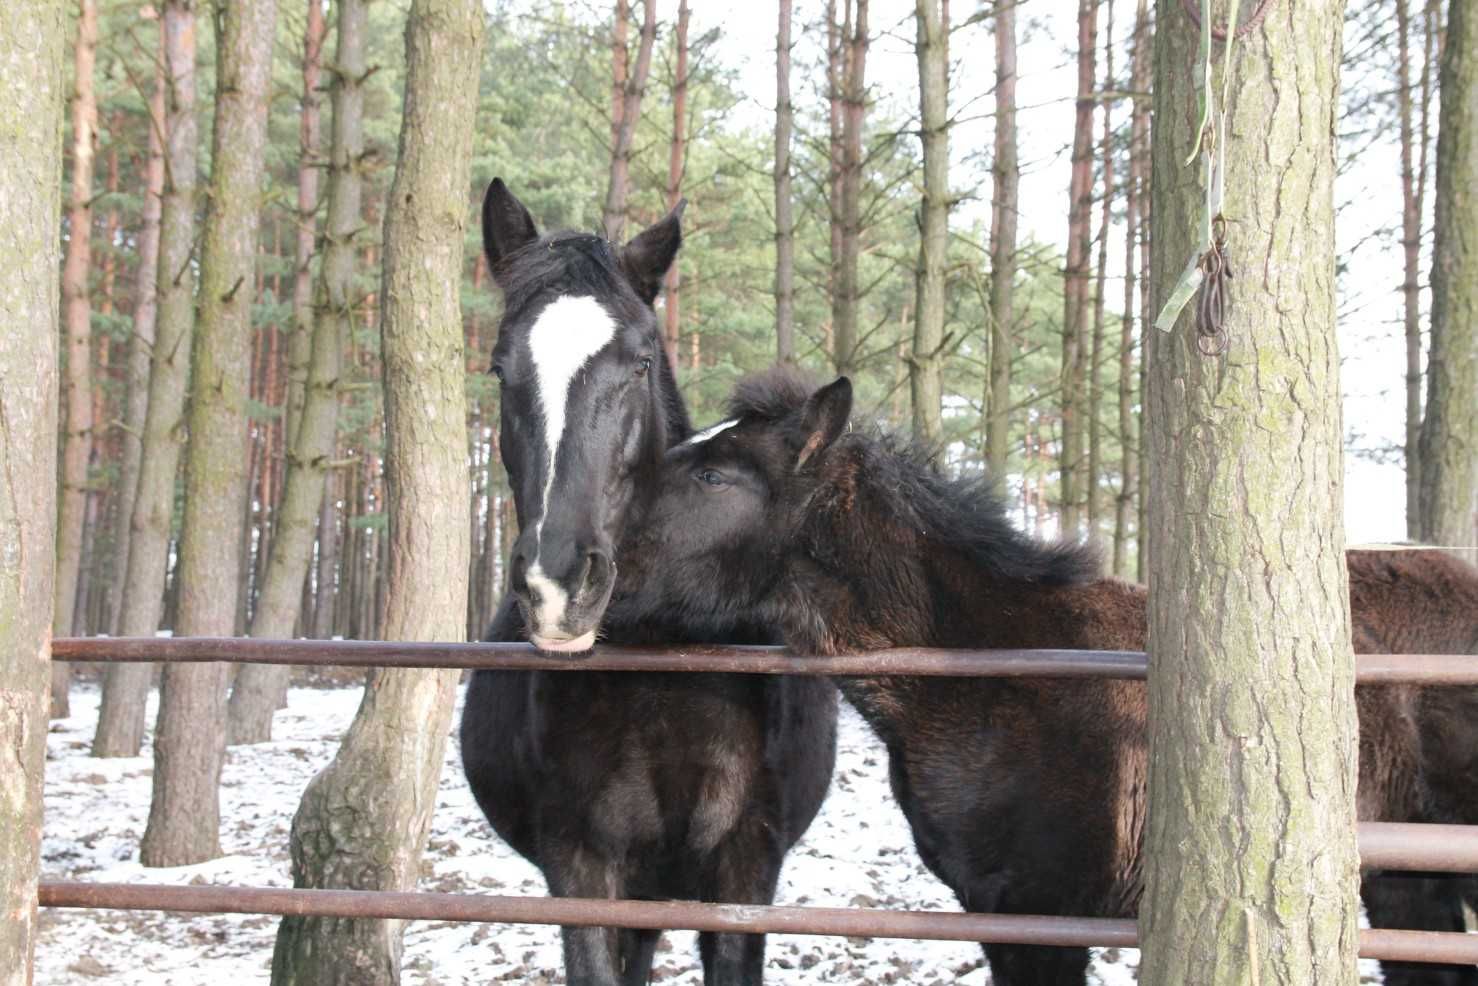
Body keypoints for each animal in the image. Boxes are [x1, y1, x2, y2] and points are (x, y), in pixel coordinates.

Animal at [455, 179, 839, 986]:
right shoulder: (583, 867)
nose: (558, 586)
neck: (670, 664)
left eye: (637, 364)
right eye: (500, 368)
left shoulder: (744, 869)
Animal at [605, 369, 1478, 986]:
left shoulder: (1043, 914)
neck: (985, 676)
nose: (584, 569)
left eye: (715, 477)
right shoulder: (995, 914)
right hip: (1410, 879)